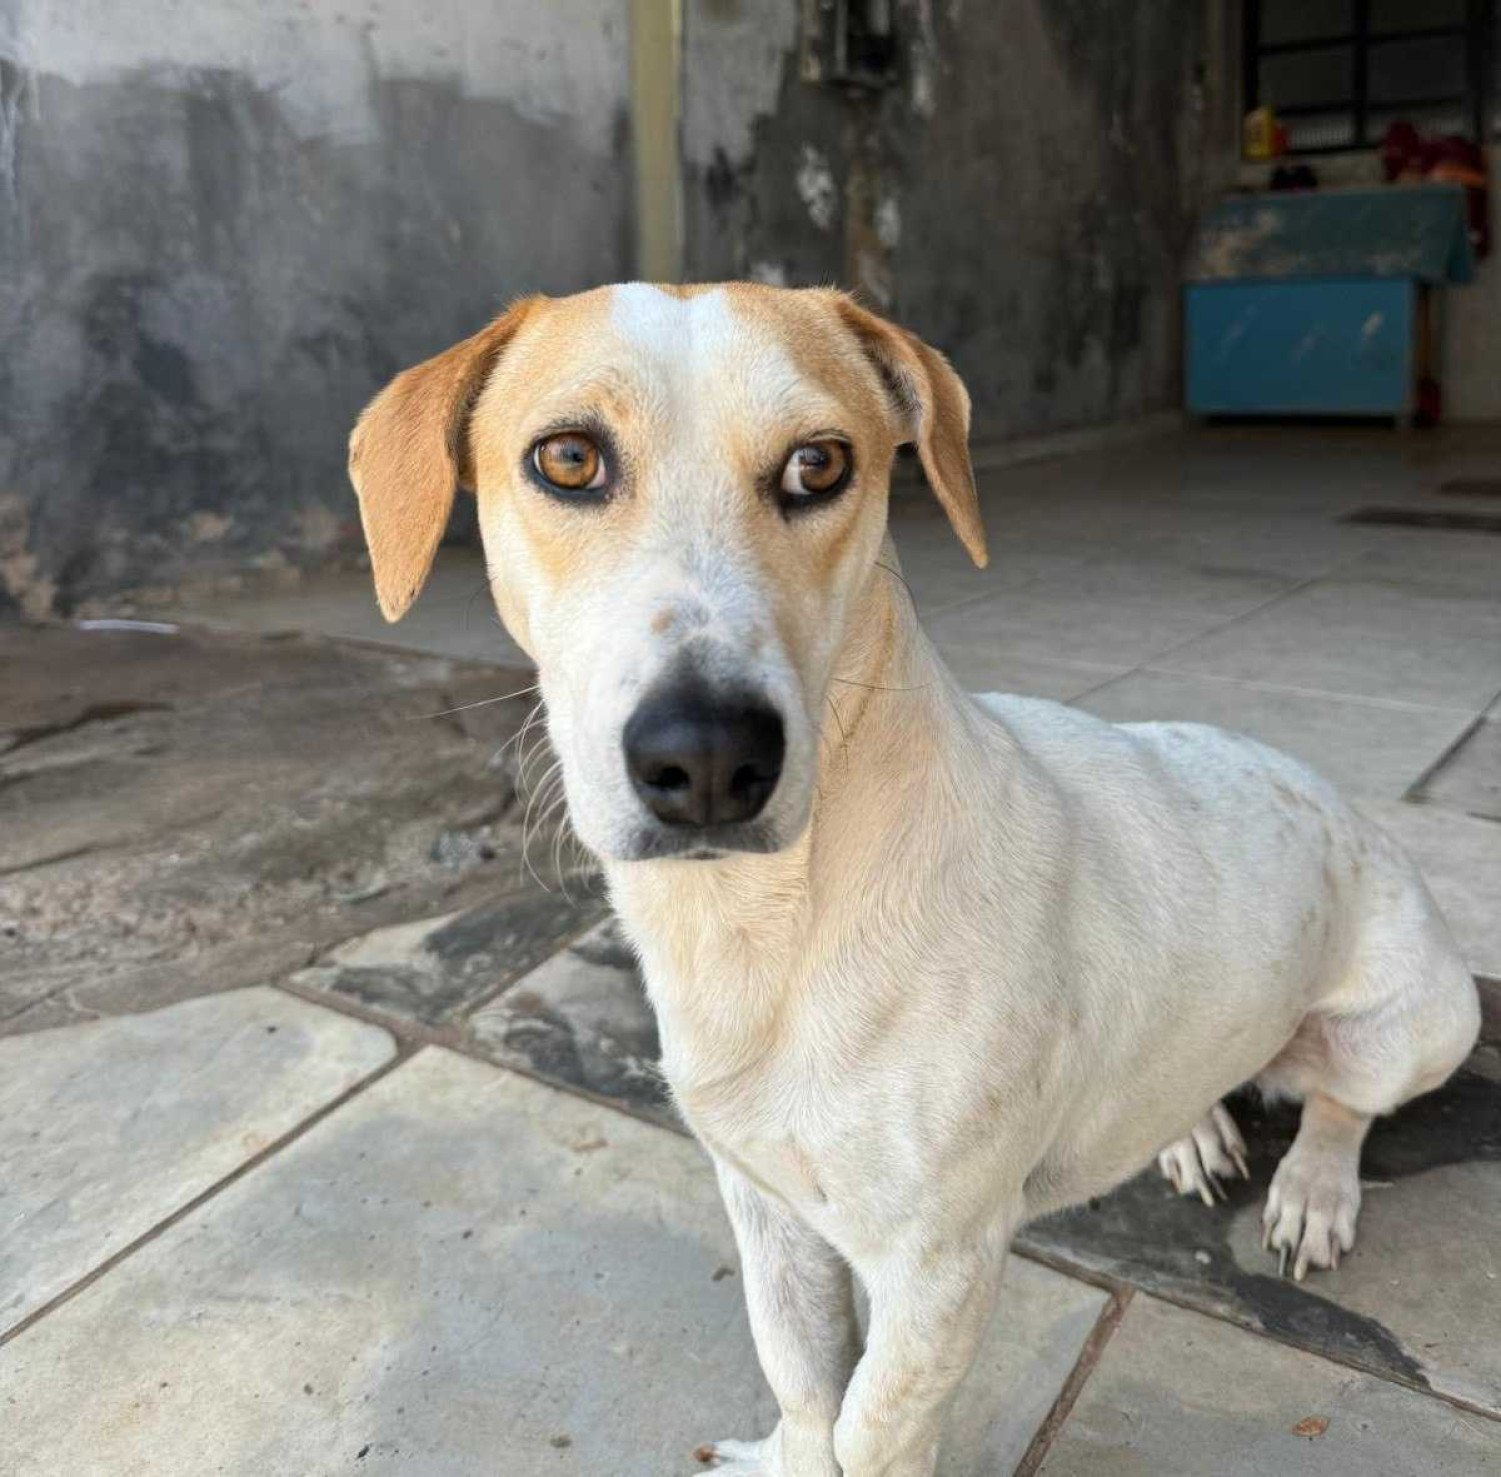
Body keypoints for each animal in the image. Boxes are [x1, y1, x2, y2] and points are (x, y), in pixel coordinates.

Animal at [348, 282, 1476, 1470]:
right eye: (567, 458)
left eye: (818, 464)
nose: (706, 760)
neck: (766, 931)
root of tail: (1342, 801)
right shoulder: (766, 1209)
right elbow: (804, 1392)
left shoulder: (939, 1268)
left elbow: (870, 1427)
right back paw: (1191, 1129)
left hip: (1420, 1023)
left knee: (1344, 1107)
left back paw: (1310, 1186)